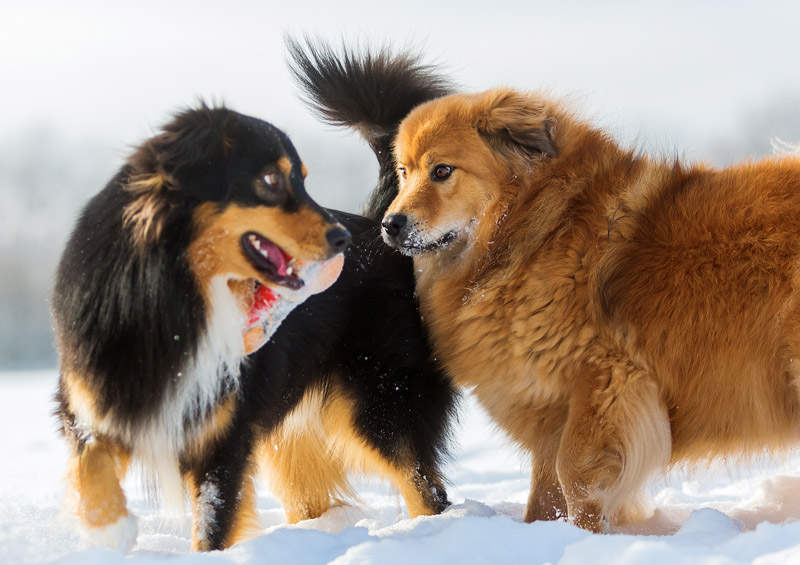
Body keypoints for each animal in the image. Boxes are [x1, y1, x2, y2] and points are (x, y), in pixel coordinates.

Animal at [378, 88, 800, 528]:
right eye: (404, 171)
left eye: (442, 171)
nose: (390, 223)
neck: (534, 230)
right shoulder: (551, 409)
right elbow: (544, 496)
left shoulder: (604, 382)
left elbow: (576, 477)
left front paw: (586, 532)